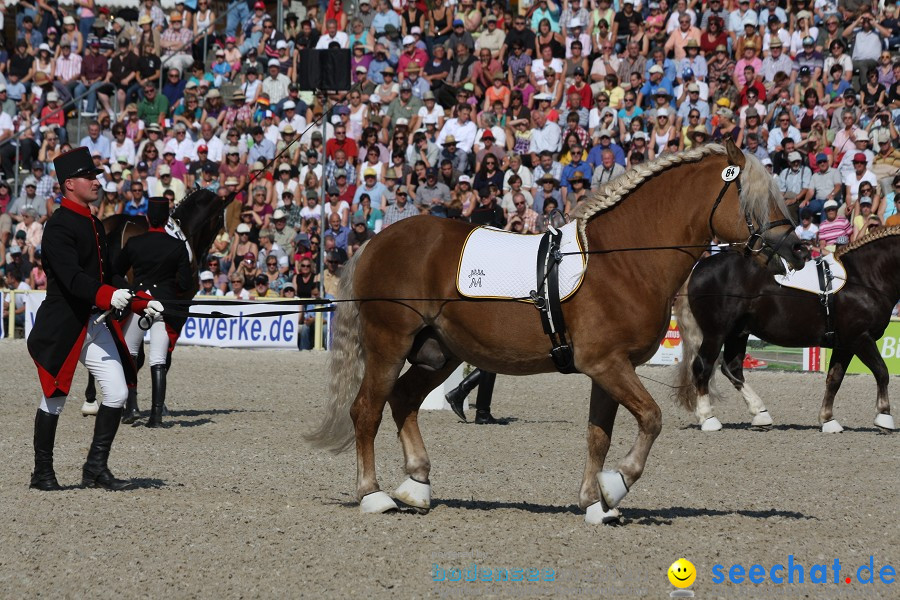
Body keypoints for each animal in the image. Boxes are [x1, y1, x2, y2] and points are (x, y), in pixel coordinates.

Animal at [304, 139, 808, 520]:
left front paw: (596, 503)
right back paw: (373, 494)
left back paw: (416, 484)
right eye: (753, 198)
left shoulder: (609, 369)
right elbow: (650, 418)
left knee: (403, 401)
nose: (798, 249)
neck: (623, 260)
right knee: (366, 410)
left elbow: (598, 434)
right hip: (390, 345)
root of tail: (378, 240)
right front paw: (616, 485)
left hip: (436, 353)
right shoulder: (607, 364)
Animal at [676, 229, 900, 432]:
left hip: (737, 333)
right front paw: (884, 417)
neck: (864, 277)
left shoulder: (844, 345)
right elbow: (882, 372)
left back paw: (760, 414)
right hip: (716, 333)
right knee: (703, 367)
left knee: (732, 368)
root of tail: (699, 267)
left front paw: (828, 420)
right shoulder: (860, 338)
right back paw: (708, 418)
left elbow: (834, 379)